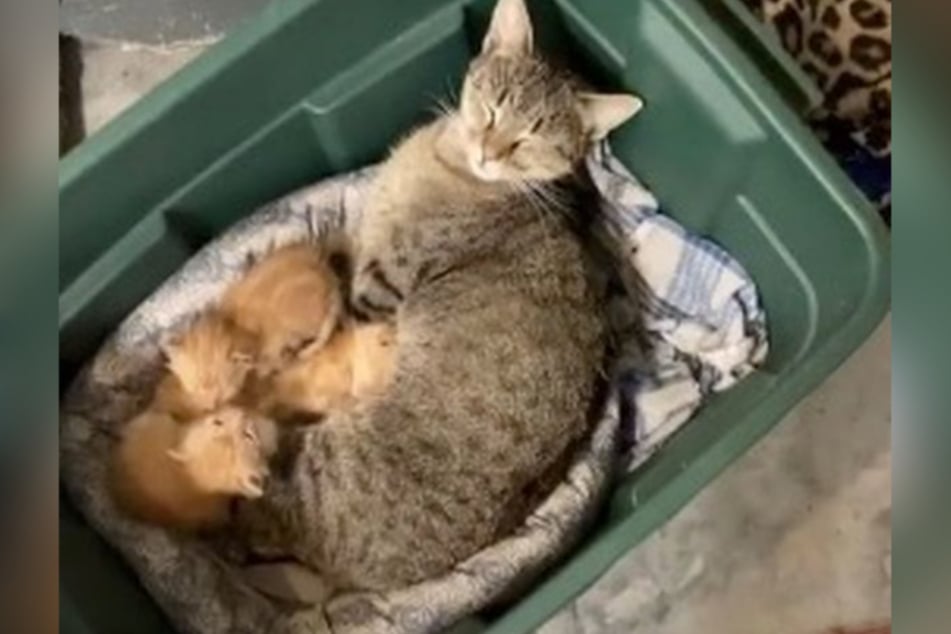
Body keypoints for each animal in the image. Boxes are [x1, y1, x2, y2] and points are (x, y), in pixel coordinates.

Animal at [235, 0, 644, 592]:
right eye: (494, 106)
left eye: (534, 140)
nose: (490, 152)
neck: (451, 163)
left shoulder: (379, 284)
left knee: (264, 508)